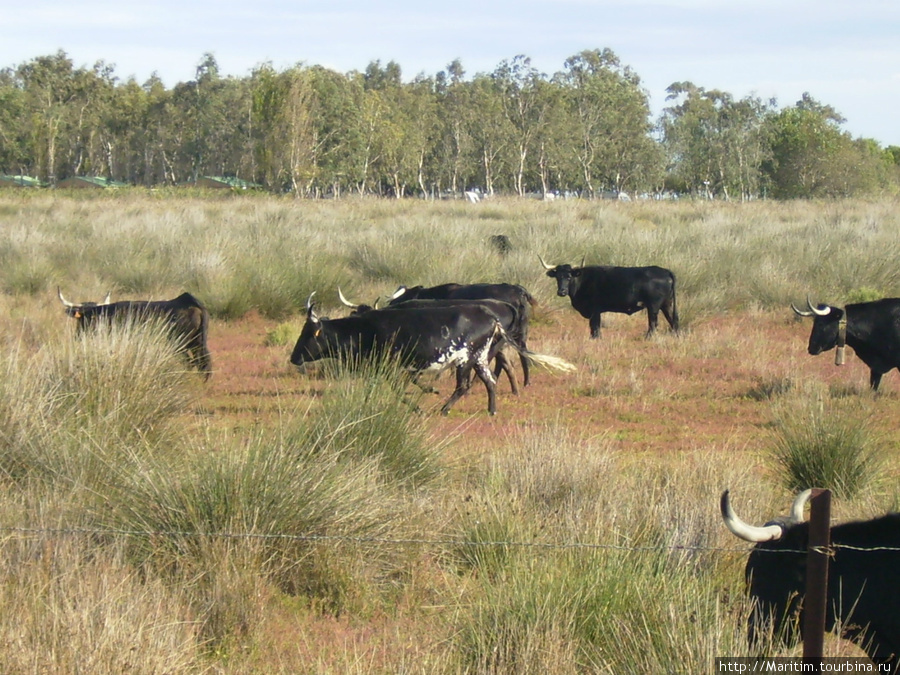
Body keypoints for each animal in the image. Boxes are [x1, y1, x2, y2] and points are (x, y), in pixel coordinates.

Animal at [58, 286, 213, 378]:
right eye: (84, 316)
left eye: (90, 317)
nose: (78, 335)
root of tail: (190, 302)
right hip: (197, 342)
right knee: (203, 361)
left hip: (181, 344)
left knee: (190, 362)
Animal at [384, 282, 536, 386]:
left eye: (401, 297)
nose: (389, 307)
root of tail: (519, 291)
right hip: (519, 336)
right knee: (520, 356)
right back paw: (525, 382)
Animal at [536, 255, 680, 338]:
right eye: (558, 277)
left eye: (569, 277)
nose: (562, 292)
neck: (583, 280)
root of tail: (665, 271)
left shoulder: (594, 311)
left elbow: (595, 327)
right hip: (666, 305)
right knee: (673, 321)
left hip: (653, 307)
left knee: (653, 323)